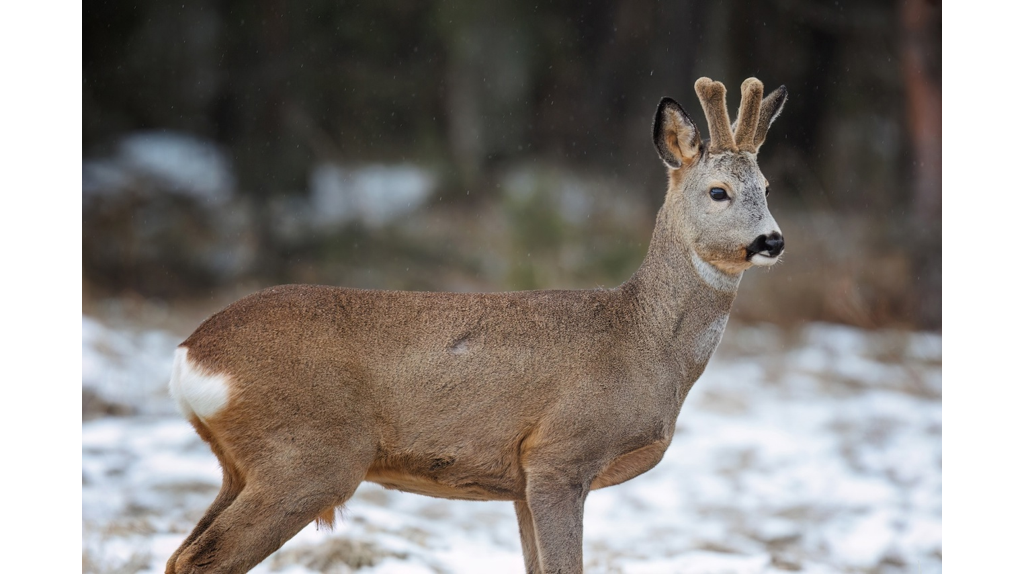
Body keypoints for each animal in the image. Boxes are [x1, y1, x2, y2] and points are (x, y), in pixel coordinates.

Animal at [165, 77, 790, 572]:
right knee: (203, 559)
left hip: (242, 467)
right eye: (718, 191)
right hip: (307, 457)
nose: (772, 240)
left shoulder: (520, 483)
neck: (643, 340)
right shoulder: (559, 456)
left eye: (767, 188)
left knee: (180, 555)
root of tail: (191, 353)